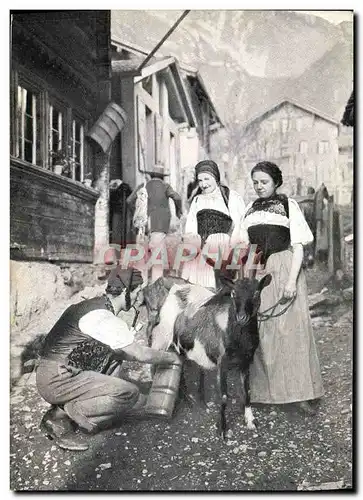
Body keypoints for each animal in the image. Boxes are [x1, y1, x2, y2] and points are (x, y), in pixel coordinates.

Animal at [149, 266, 272, 438]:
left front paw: (251, 421)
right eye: (233, 293)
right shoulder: (222, 363)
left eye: (256, 293)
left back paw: (198, 400)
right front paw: (222, 429)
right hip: (163, 338)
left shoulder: (246, 362)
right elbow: (224, 397)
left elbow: (247, 392)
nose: (241, 318)